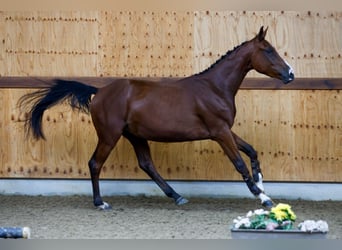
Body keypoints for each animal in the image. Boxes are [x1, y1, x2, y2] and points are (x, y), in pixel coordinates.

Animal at [19, 26, 294, 209]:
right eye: (268, 50)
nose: (290, 74)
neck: (214, 88)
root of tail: (100, 91)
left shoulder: (225, 130)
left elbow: (252, 151)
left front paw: (262, 186)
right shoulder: (219, 132)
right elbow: (239, 162)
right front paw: (264, 198)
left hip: (135, 136)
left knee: (146, 164)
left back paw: (177, 196)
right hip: (110, 135)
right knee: (95, 163)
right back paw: (100, 203)